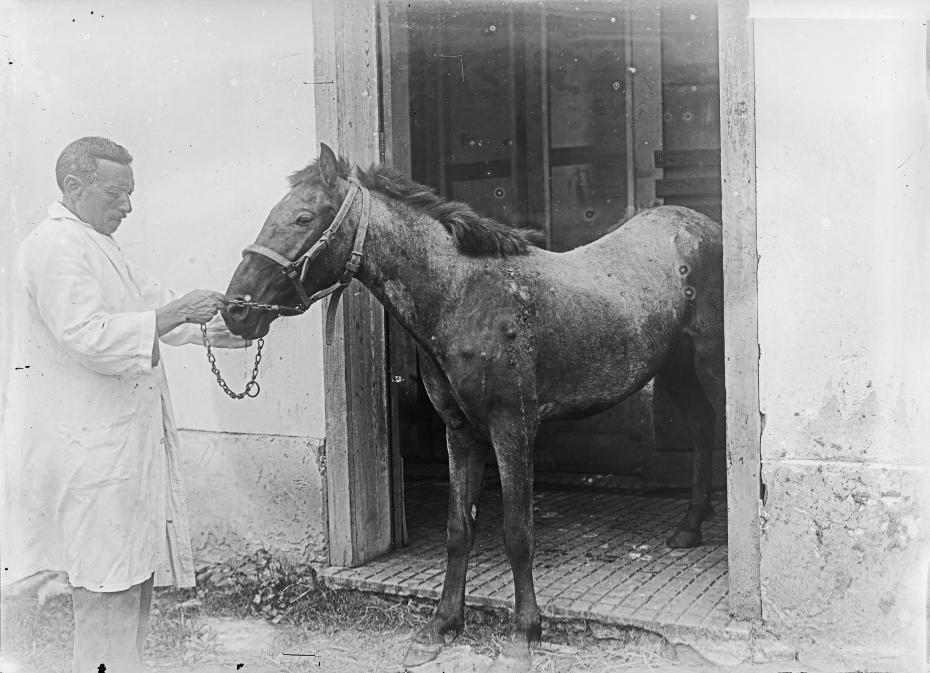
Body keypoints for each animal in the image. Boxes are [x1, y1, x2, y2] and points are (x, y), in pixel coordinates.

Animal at [219, 143, 724, 672]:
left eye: (303, 216)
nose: (236, 309)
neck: (461, 297)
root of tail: (700, 225)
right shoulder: (460, 432)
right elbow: (459, 528)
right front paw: (441, 625)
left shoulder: (513, 428)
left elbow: (517, 532)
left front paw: (524, 634)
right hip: (675, 366)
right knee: (702, 427)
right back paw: (690, 526)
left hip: (710, 361)